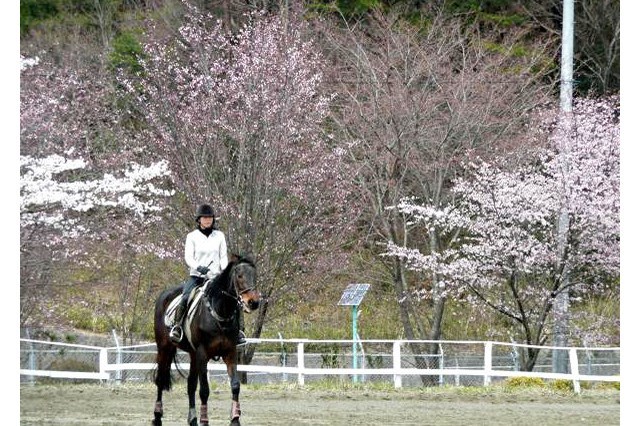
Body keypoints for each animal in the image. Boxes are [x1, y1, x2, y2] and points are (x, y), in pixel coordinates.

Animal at [151, 255, 262, 424]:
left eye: (254, 275)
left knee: (190, 384)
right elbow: (204, 390)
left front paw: (235, 418)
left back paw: (192, 419)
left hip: (192, 354)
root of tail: (164, 295)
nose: (253, 302)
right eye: (239, 275)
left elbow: (235, 385)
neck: (220, 312)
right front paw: (204, 421)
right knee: (160, 380)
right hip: (164, 348)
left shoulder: (230, 353)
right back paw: (157, 416)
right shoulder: (203, 354)